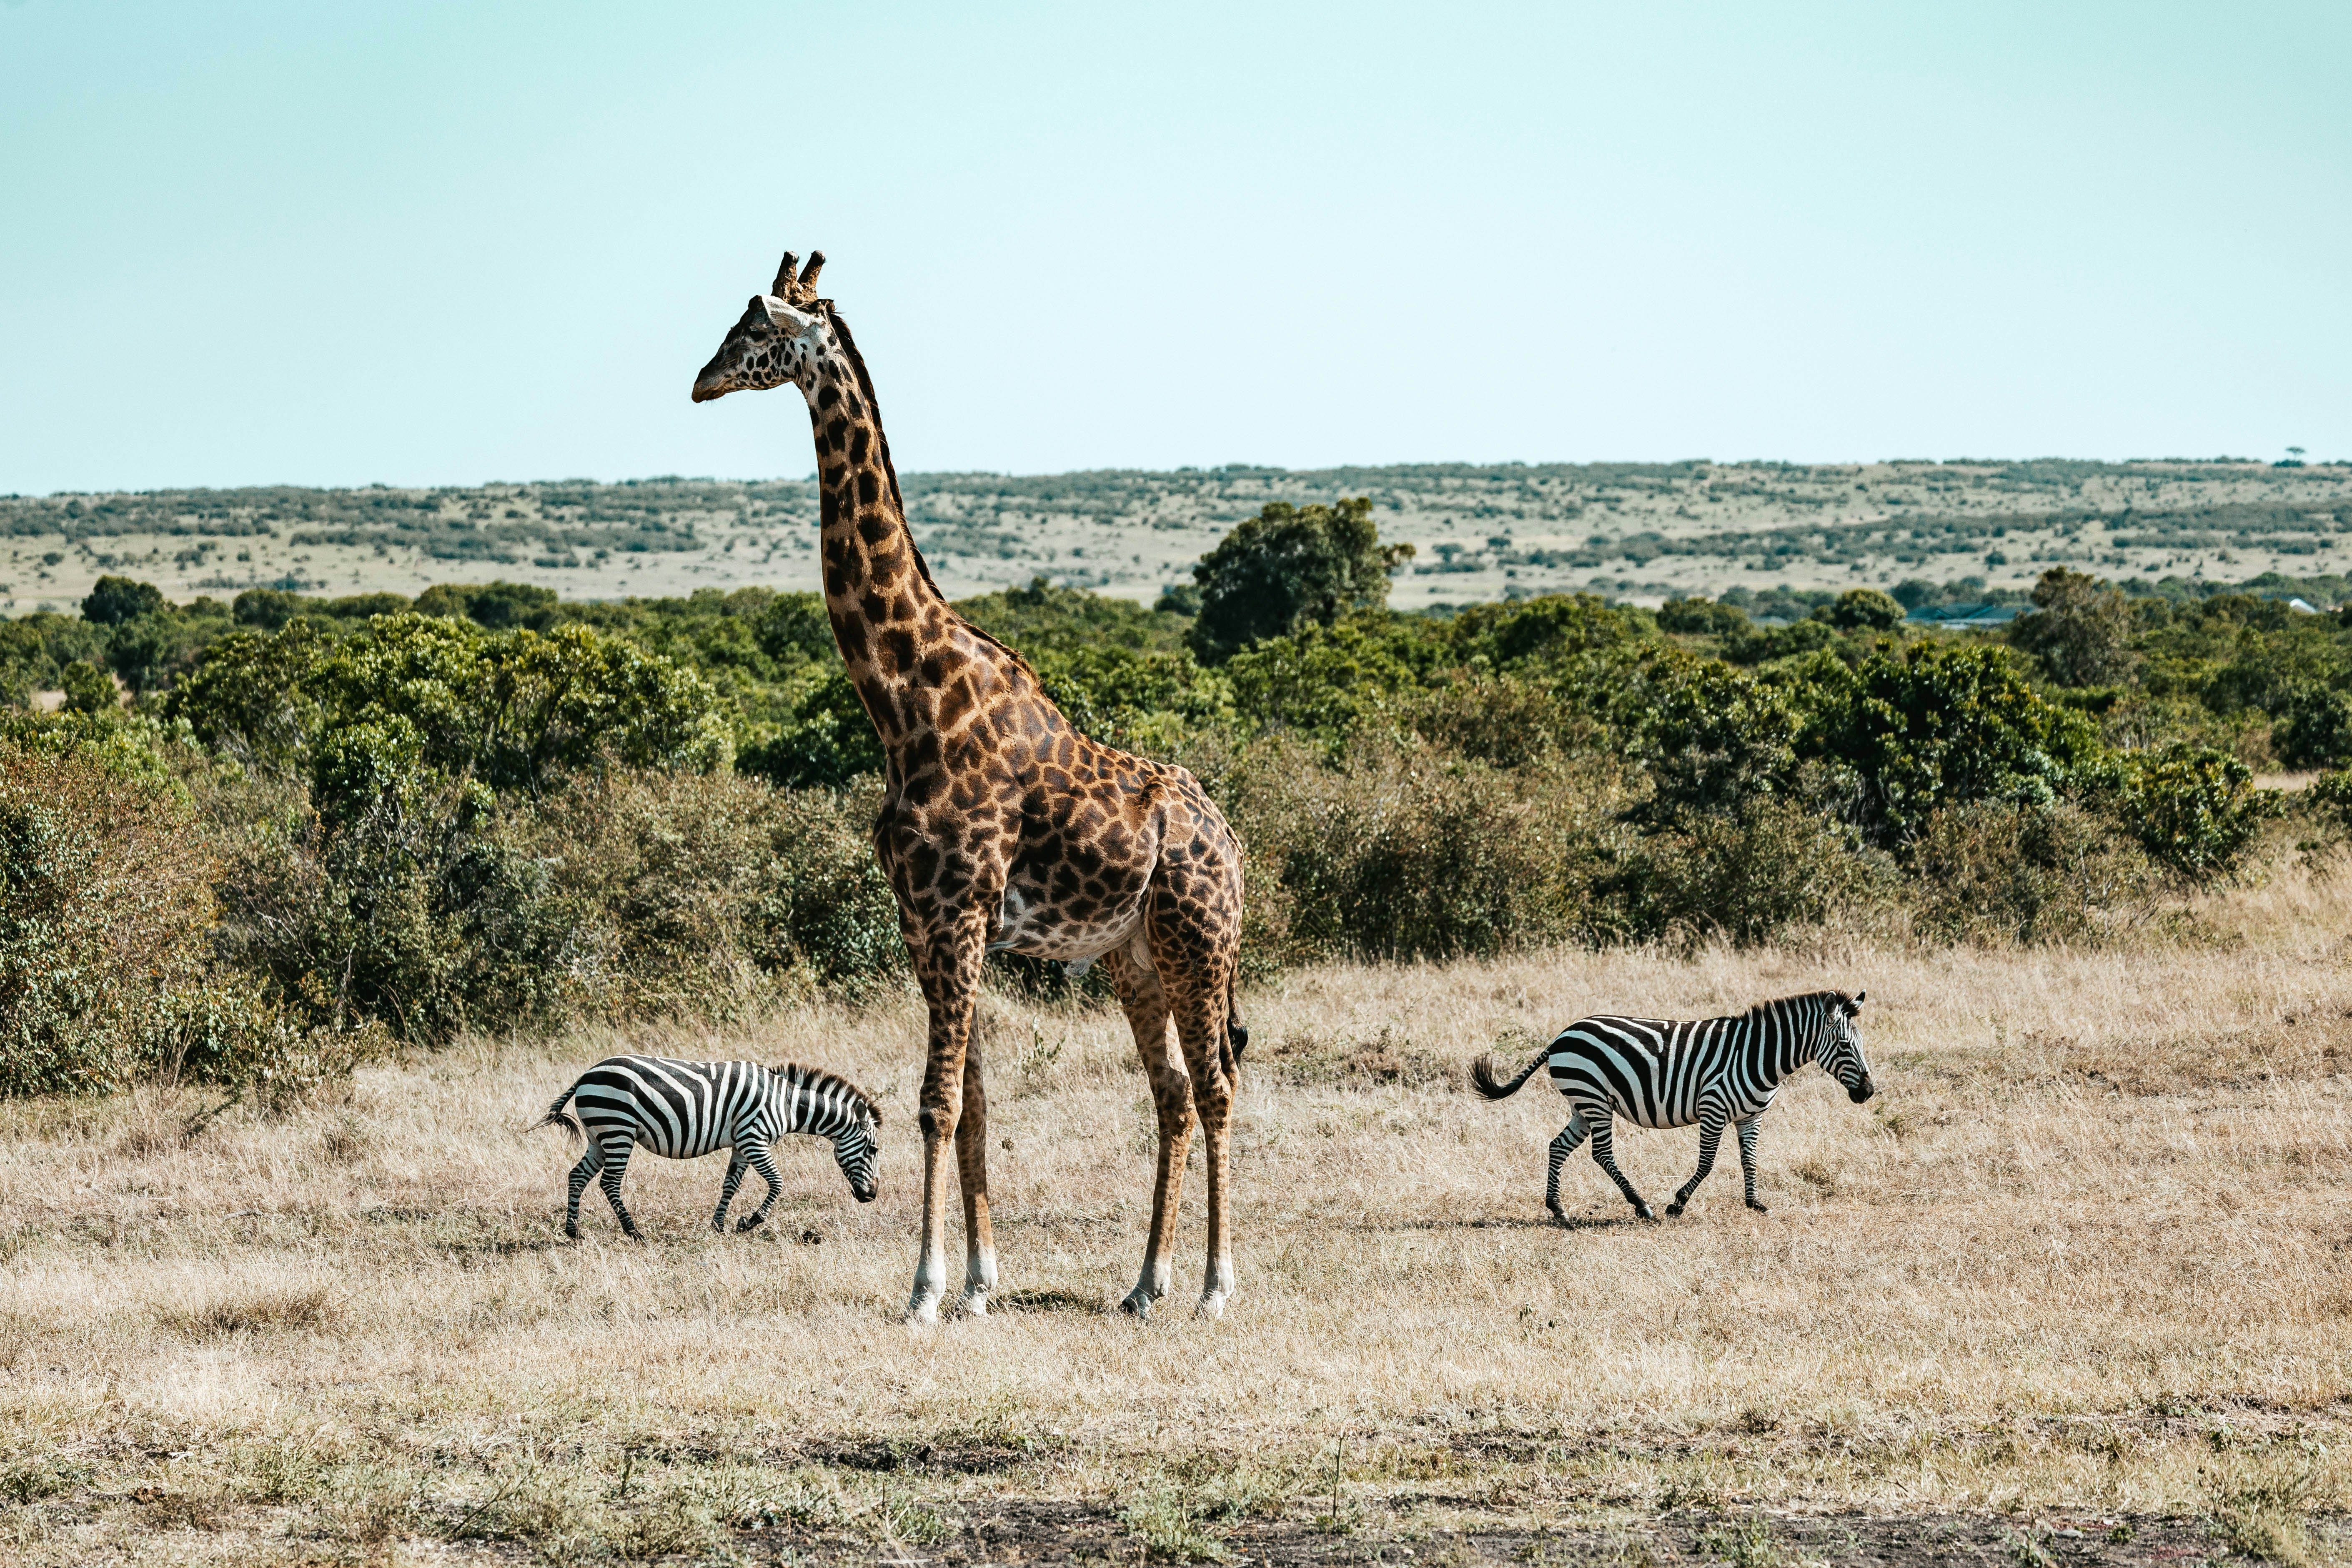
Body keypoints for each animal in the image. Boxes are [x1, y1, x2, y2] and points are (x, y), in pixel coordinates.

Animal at [537, 1056, 882, 1239]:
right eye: (874, 1151)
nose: (872, 1195)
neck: (785, 1104)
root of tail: (587, 1074)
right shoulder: (754, 1139)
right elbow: (778, 1183)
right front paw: (750, 1222)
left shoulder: (742, 1144)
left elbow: (731, 1184)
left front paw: (719, 1226)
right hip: (618, 1130)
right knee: (609, 1183)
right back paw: (634, 1232)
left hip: (599, 1136)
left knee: (577, 1177)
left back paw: (573, 1232)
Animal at [692, 249, 1250, 1323]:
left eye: (757, 328)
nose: (699, 382)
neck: (906, 699)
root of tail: (1233, 841)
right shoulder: (924, 918)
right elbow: (976, 1102)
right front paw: (982, 1282)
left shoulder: (954, 910)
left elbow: (935, 1101)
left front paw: (923, 1290)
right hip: (1132, 954)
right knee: (1168, 1090)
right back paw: (1143, 1284)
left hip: (1200, 941)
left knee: (1214, 1087)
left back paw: (1212, 1286)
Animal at [1472, 990, 1874, 1223]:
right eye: (1843, 1045)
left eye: (1860, 1043)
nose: (1868, 1092)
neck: (1759, 1057)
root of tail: (1562, 1035)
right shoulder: (1713, 1108)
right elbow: (1707, 1163)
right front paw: (1677, 1204)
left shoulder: (1751, 1116)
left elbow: (1750, 1159)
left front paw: (1754, 1202)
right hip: (1594, 1100)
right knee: (1601, 1154)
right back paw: (1642, 1206)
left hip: (1582, 1103)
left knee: (1558, 1146)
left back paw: (1558, 1210)